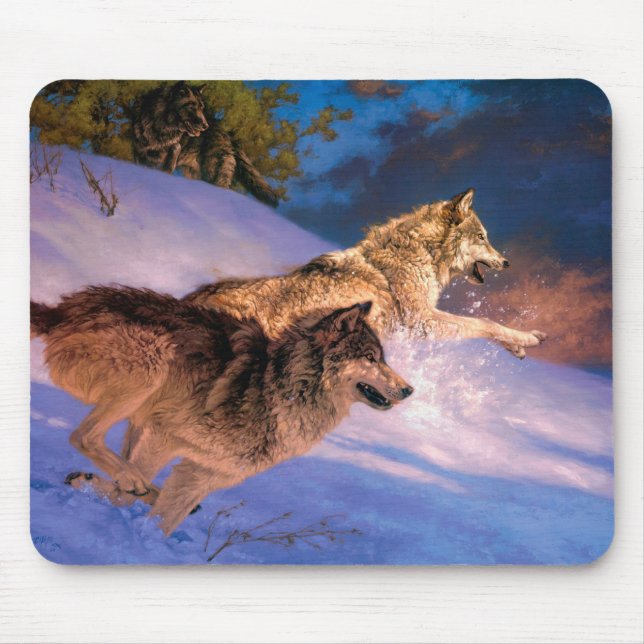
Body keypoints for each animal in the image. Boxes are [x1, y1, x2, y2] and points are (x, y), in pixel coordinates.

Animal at [31, 287, 412, 534]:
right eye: (370, 358)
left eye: (381, 358)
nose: (409, 390)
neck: (280, 387)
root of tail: (61, 310)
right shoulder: (163, 434)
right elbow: (129, 495)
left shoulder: (203, 474)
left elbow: (165, 519)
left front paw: (146, 537)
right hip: (153, 365)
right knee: (84, 437)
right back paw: (129, 480)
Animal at [131, 81, 279, 207]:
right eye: (192, 107)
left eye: (202, 107)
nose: (205, 126)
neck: (159, 126)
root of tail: (227, 134)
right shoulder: (140, 155)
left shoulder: (163, 157)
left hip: (213, 175)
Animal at [186, 188, 546, 358]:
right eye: (483, 237)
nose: (506, 263)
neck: (422, 255)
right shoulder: (421, 322)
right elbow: (484, 323)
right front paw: (527, 338)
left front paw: (520, 345)